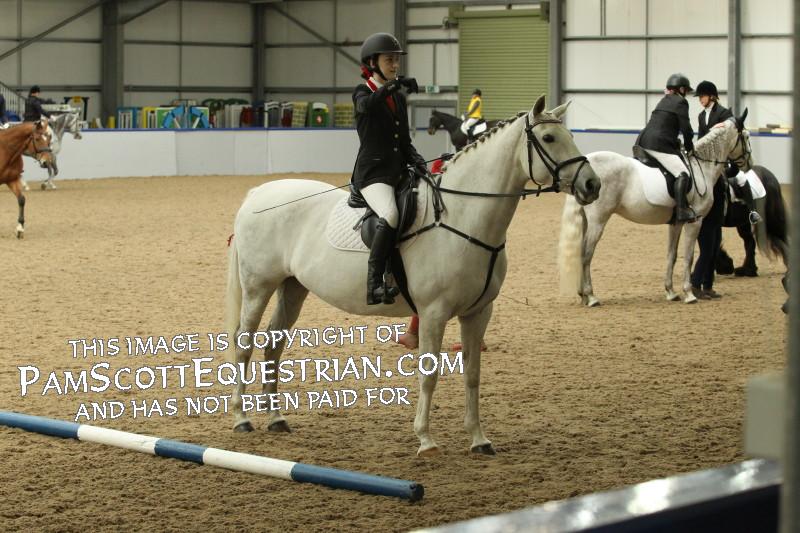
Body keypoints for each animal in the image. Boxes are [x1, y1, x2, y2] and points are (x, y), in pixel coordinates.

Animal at [225, 95, 601, 456]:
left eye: (570, 135)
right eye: (549, 138)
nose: (592, 184)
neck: (463, 218)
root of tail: (258, 194)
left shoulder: (478, 312)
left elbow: (473, 374)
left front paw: (479, 439)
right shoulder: (434, 312)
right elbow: (429, 374)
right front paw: (425, 440)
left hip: (292, 287)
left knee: (273, 343)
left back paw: (275, 418)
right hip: (259, 286)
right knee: (245, 343)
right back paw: (242, 418)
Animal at [558, 111, 753, 306]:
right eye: (746, 136)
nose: (748, 164)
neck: (701, 168)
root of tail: (583, 173)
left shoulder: (676, 223)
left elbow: (672, 255)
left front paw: (671, 292)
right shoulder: (695, 222)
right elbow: (688, 256)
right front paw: (689, 294)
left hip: (586, 220)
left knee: (581, 253)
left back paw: (583, 295)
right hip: (598, 220)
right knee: (586, 254)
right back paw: (591, 297)